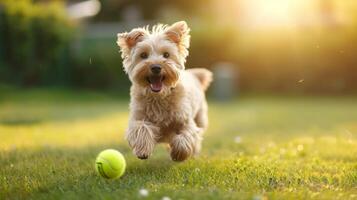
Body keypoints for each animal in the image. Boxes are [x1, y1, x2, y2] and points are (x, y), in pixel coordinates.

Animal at [117, 20, 211, 161]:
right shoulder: (138, 118)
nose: (156, 67)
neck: (159, 97)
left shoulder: (185, 122)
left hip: (200, 117)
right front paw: (142, 150)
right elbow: (141, 128)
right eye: (143, 55)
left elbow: (186, 136)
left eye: (166, 54)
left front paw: (179, 153)